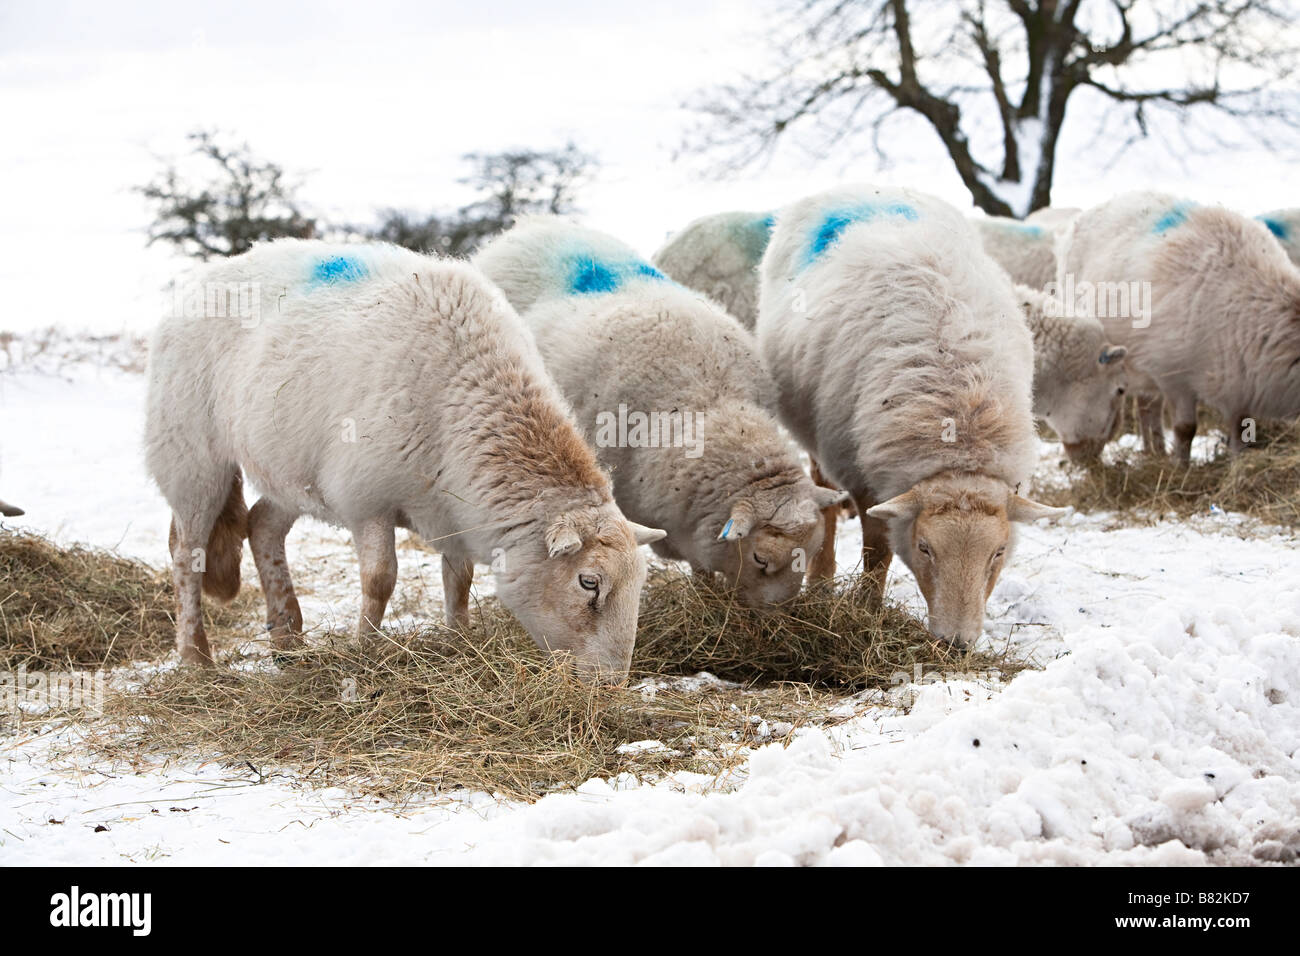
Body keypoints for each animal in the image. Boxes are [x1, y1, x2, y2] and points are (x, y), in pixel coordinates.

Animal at [147, 243, 665, 686]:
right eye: (589, 582)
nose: (611, 685)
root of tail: (211, 272)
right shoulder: (367, 498)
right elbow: (380, 580)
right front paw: (365, 652)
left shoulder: (451, 503)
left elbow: (459, 579)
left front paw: (459, 642)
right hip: (190, 454)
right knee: (186, 553)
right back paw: (195, 658)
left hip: (292, 468)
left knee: (262, 526)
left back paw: (288, 641)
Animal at [754, 183, 1066, 647]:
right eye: (925, 549)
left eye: (997, 552)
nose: (956, 644)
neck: (961, 419)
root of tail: (860, 187)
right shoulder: (866, 475)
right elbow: (878, 549)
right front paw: (867, 607)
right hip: (821, 433)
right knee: (823, 495)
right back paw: (822, 581)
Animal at [1055, 192, 1300, 463]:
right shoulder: (1173, 376)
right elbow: (1185, 429)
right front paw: (1181, 466)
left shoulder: (1239, 379)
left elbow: (1240, 427)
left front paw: (1238, 461)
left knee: (1147, 406)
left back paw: (1155, 451)